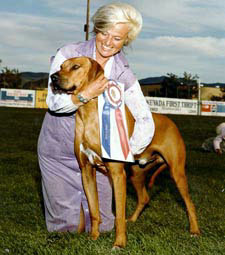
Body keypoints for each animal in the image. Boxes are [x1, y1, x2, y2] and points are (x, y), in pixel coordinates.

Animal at [51, 56, 200, 248]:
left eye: (75, 66)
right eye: (61, 66)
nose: (53, 77)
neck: (88, 115)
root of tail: (170, 121)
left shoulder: (117, 174)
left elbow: (119, 215)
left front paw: (119, 243)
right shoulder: (86, 172)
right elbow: (94, 210)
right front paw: (94, 237)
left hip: (177, 172)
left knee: (189, 204)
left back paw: (194, 231)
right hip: (136, 173)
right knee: (144, 198)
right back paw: (134, 219)